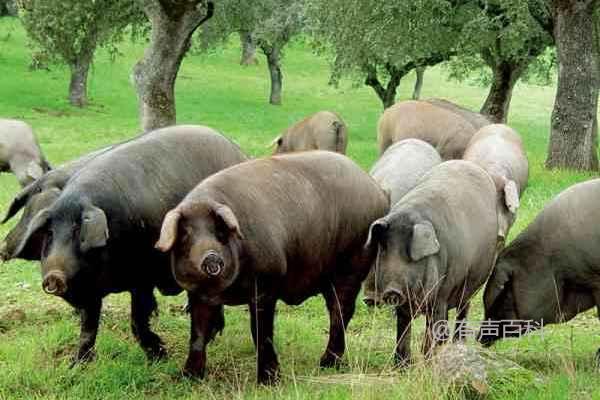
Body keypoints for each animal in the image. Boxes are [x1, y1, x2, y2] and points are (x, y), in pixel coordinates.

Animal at [366, 160, 496, 366]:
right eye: (384, 250)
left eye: (410, 256)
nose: (392, 291)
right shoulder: (405, 305)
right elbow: (403, 327)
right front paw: (402, 365)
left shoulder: (443, 291)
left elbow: (436, 328)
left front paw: (428, 362)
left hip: (470, 283)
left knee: (462, 311)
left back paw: (458, 344)